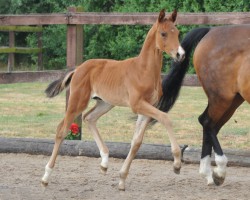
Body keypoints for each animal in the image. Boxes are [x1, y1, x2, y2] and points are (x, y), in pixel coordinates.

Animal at [41, 9, 186, 191]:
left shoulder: (147, 108)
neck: (144, 70)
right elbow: (165, 118)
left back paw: (104, 163)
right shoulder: (137, 105)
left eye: (177, 33)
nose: (181, 54)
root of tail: (79, 68)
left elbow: (136, 142)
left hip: (105, 103)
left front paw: (122, 179)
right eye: (163, 33)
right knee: (62, 130)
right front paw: (177, 164)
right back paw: (46, 177)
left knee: (89, 118)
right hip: (78, 101)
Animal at [158, 24, 250, 186]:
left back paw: (208, 173)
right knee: (207, 122)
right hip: (222, 97)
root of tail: (211, 31)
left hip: (233, 99)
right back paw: (218, 172)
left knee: (211, 125)